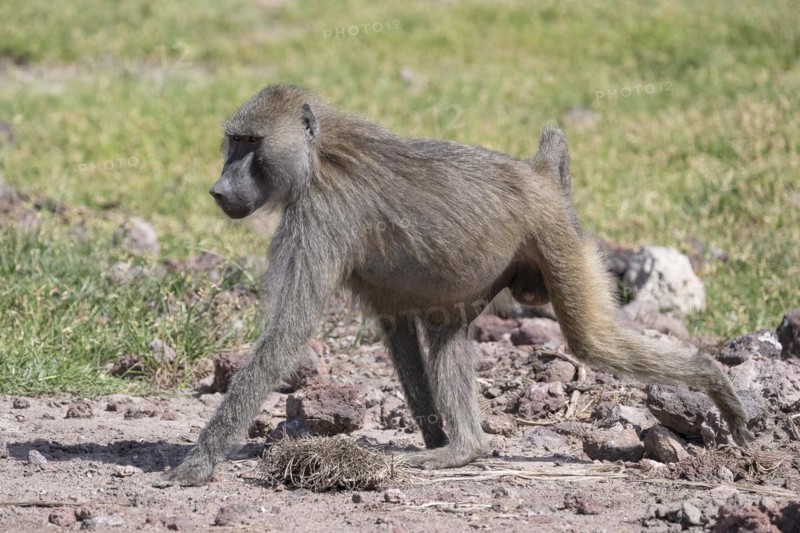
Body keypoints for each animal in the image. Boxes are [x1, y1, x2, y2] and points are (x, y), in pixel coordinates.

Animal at [167, 84, 752, 485]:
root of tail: (538, 175)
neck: (318, 157)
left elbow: (287, 333)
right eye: (232, 142)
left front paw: (197, 465)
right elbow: (399, 330)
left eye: (251, 143)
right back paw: (462, 447)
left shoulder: (319, 216)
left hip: (560, 238)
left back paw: (714, 380)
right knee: (447, 333)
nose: (219, 190)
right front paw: (433, 431)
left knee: (592, 341)